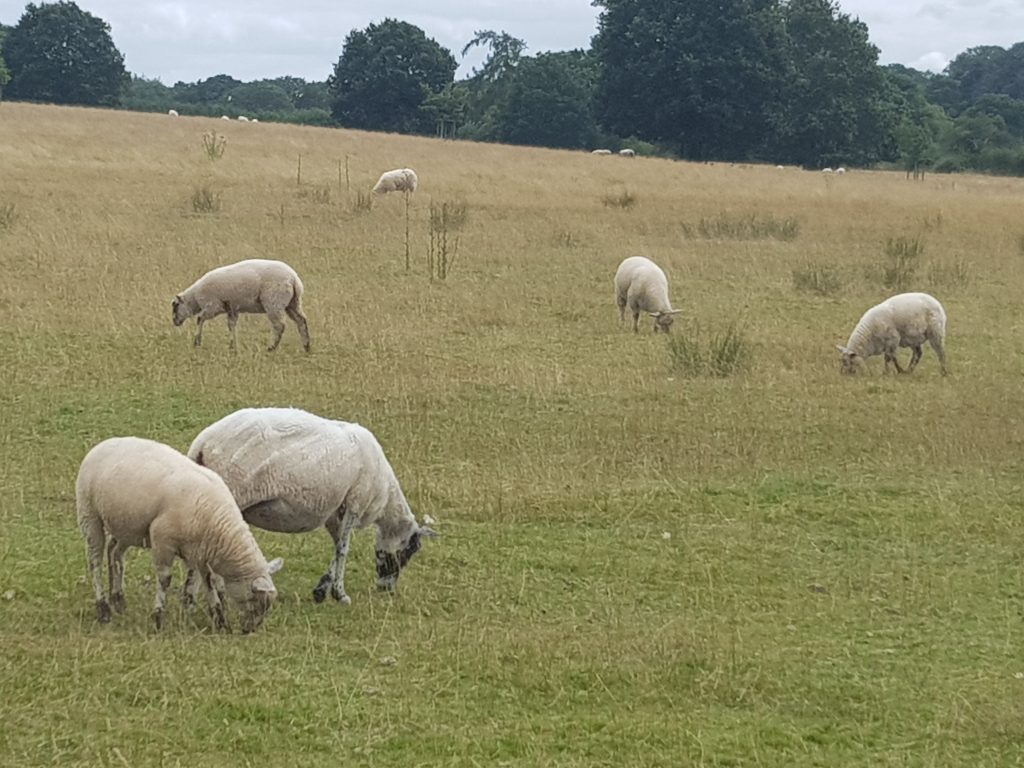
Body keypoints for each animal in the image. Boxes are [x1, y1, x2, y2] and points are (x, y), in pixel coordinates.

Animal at [76, 436, 283, 632]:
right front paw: (158, 618)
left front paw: (220, 621)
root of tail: (103, 443)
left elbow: (208, 581)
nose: (249, 630)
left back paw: (118, 600)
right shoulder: (162, 541)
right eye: (257, 601)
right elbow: (165, 580)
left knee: (115, 553)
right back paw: (103, 608)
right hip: (89, 514)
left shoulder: (200, 551)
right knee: (94, 561)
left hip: (127, 525)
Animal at [172, 259, 311, 352]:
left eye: (176, 305)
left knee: (279, 325)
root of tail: (293, 278)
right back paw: (306, 346)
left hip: (274, 303)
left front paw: (197, 342)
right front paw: (232, 346)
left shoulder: (213, 306)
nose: (175, 322)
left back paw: (271, 347)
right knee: (301, 321)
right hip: (293, 303)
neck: (195, 298)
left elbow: (199, 319)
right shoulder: (232, 309)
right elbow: (231, 326)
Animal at [187, 407, 437, 606]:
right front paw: (340, 594)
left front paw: (322, 589)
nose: (386, 588)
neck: (385, 497)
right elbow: (344, 549)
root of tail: (203, 442)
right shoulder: (355, 503)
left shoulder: (335, 513)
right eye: (412, 549)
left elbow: (337, 547)